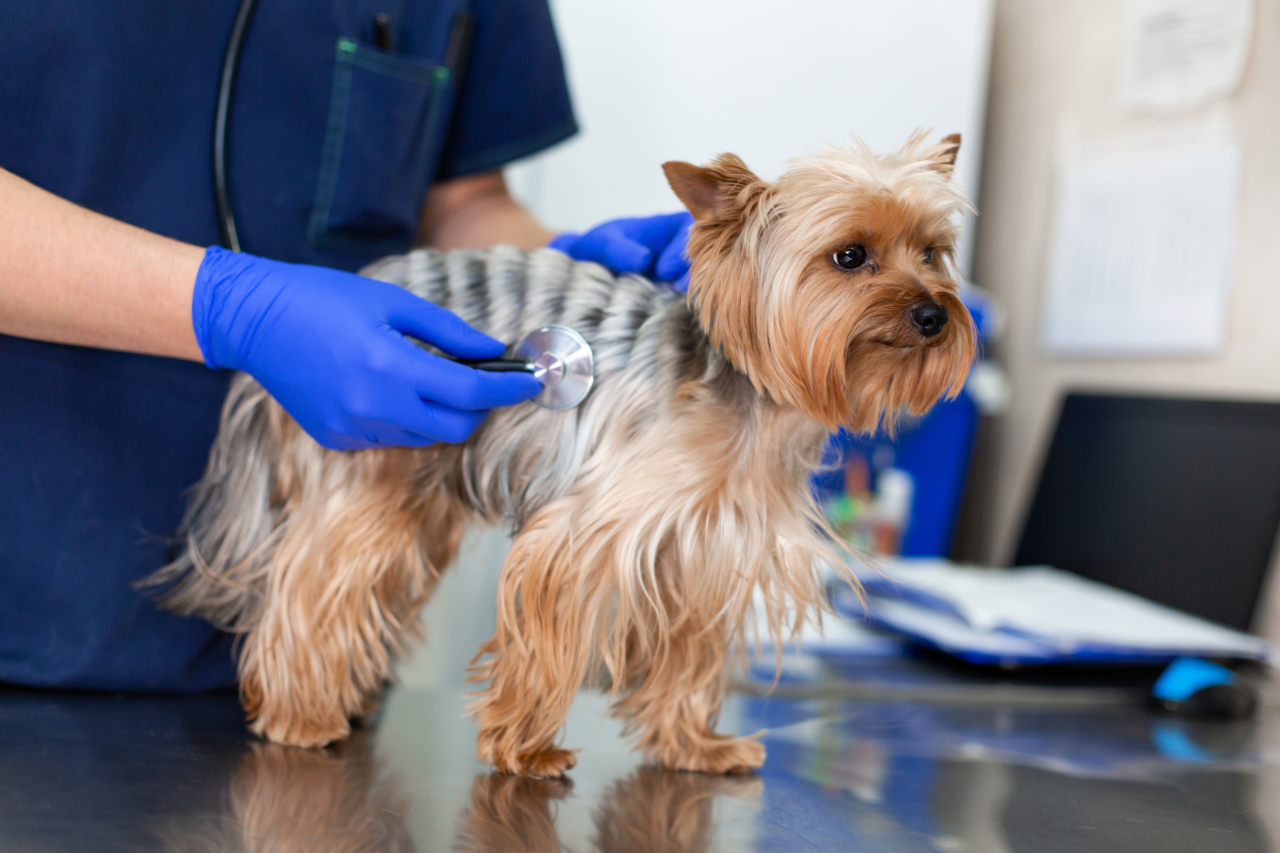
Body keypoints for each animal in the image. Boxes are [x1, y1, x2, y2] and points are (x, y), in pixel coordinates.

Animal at [147, 133, 967, 778]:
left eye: (934, 253)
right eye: (850, 255)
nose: (935, 314)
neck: (755, 401)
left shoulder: (707, 546)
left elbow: (689, 656)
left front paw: (695, 746)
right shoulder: (584, 533)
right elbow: (544, 641)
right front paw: (526, 748)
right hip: (363, 462)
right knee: (311, 583)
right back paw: (301, 715)